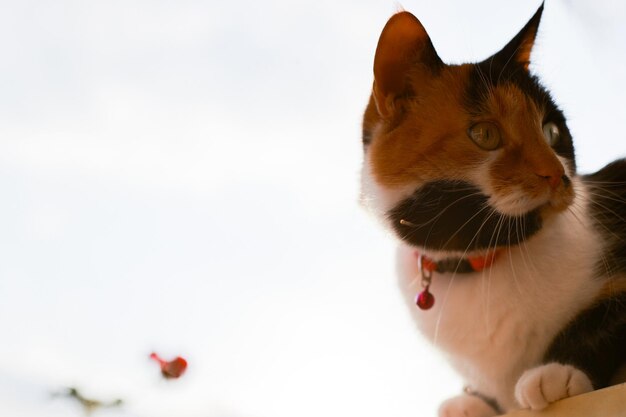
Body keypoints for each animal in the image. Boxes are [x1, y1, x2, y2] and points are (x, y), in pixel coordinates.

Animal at [358, 4, 624, 416]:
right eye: (484, 135)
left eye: (551, 131)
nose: (558, 174)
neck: (480, 262)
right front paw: (472, 402)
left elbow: (605, 318)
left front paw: (557, 371)